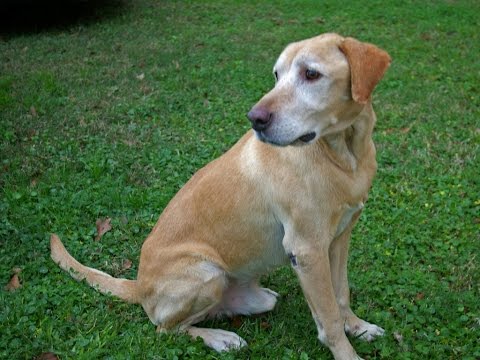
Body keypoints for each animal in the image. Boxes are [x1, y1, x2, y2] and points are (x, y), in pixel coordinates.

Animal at [50, 32, 392, 358]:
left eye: (311, 74)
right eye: (277, 74)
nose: (255, 119)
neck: (343, 154)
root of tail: (139, 286)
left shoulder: (339, 238)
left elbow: (341, 294)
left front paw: (358, 327)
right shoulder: (308, 250)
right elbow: (329, 318)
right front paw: (348, 352)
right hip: (207, 274)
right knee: (166, 329)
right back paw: (220, 339)